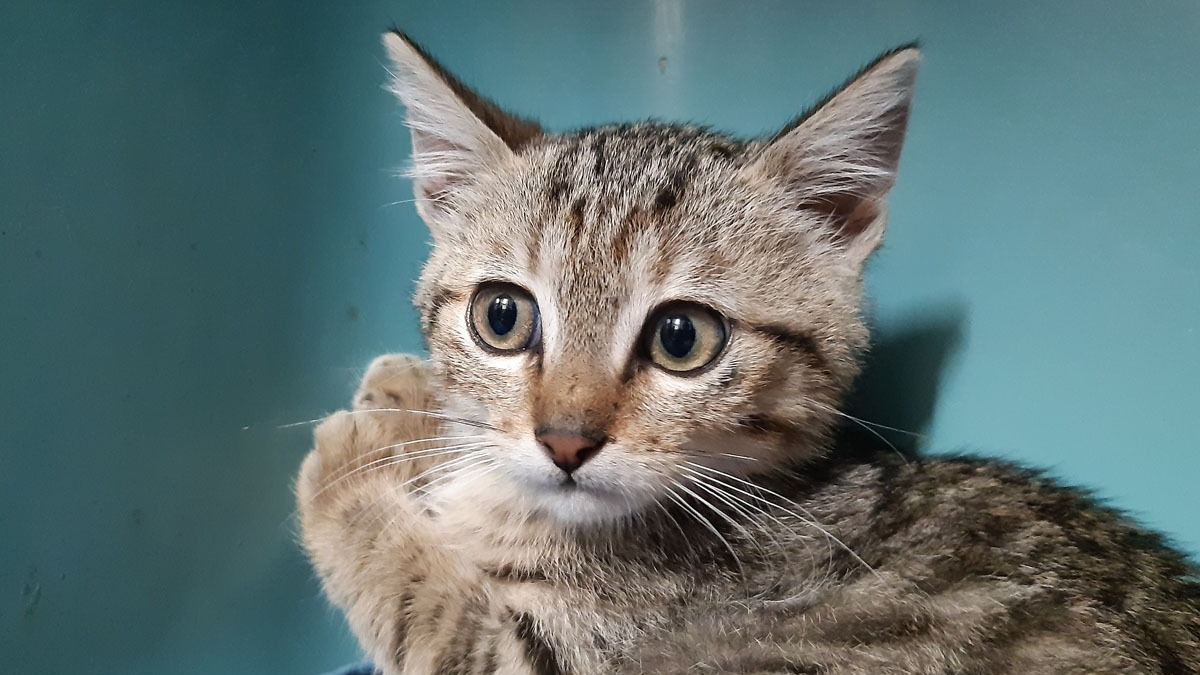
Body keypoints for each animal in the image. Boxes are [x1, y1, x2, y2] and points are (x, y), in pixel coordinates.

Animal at [296, 31, 1200, 674]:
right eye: (502, 316)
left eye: (682, 337)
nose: (564, 440)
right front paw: (408, 396)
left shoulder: (551, 656)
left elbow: (431, 607)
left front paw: (353, 458)